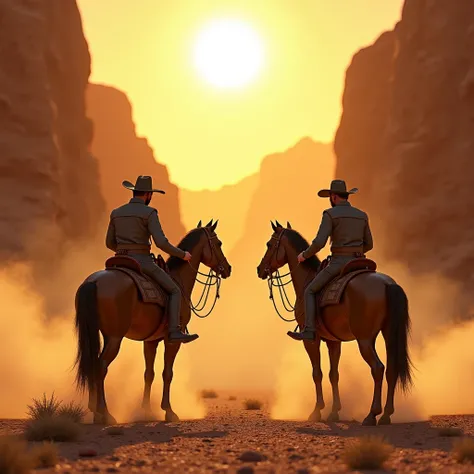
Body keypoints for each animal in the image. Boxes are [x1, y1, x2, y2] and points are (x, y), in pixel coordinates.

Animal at [72, 220, 233, 424]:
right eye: (219, 243)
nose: (228, 268)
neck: (177, 279)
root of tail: (93, 282)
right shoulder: (172, 341)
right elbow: (167, 373)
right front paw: (169, 411)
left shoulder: (151, 341)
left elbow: (149, 374)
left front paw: (147, 411)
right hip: (114, 338)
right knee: (101, 367)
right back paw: (105, 413)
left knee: (93, 365)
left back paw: (96, 413)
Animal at [256, 221, 412, 426]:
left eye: (269, 244)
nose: (260, 269)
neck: (307, 279)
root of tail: (388, 284)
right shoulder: (333, 341)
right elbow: (333, 374)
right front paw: (334, 412)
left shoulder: (311, 340)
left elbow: (317, 373)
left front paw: (317, 411)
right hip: (388, 335)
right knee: (391, 369)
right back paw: (386, 415)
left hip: (365, 340)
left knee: (378, 368)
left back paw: (372, 414)